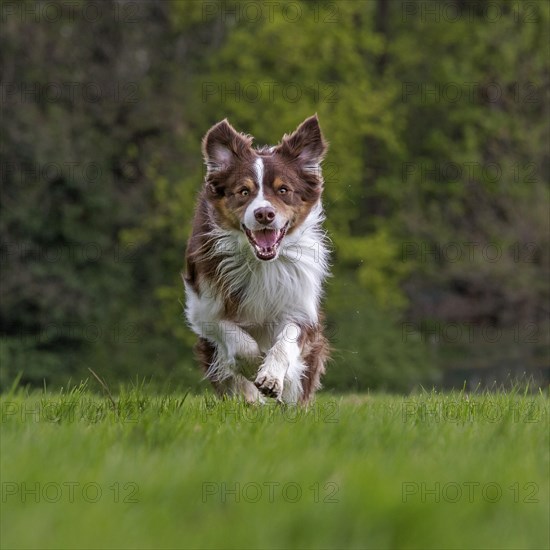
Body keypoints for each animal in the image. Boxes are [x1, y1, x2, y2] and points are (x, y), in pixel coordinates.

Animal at [185, 116, 332, 406]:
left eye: (283, 190)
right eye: (244, 192)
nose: (264, 213)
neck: (262, 262)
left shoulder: (299, 304)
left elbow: (285, 342)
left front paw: (271, 377)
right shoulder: (203, 307)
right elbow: (240, 343)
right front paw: (255, 370)